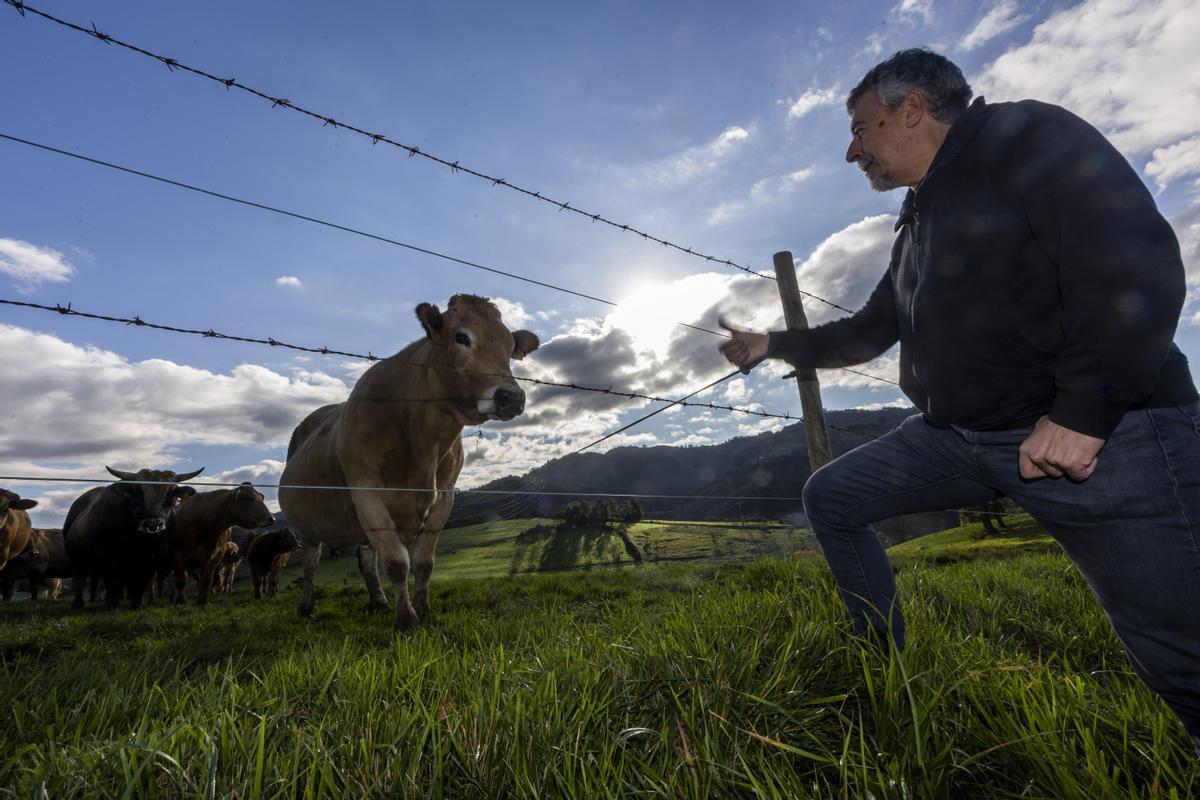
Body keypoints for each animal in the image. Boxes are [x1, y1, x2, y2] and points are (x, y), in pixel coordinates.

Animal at [65, 465, 201, 609]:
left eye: (171, 492)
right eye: (137, 491)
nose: (153, 524)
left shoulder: (151, 562)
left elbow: (141, 583)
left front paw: (136, 604)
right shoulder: (109, 557)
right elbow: (113, 582)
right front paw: (114, 605)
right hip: (76, 559)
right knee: (79, 579)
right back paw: (78, 603)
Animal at [276, 293, 540, 633]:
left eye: (509, 347)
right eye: (462, 337)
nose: (512, 397)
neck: (424, 442)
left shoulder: (445, 496)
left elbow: (424, 563)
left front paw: (424, 610)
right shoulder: (366, 492)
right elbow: (397, 562)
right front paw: (406, 619)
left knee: (365, 559)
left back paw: (378, 601)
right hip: (306, 527)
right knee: (310, 564)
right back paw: (307, 607)